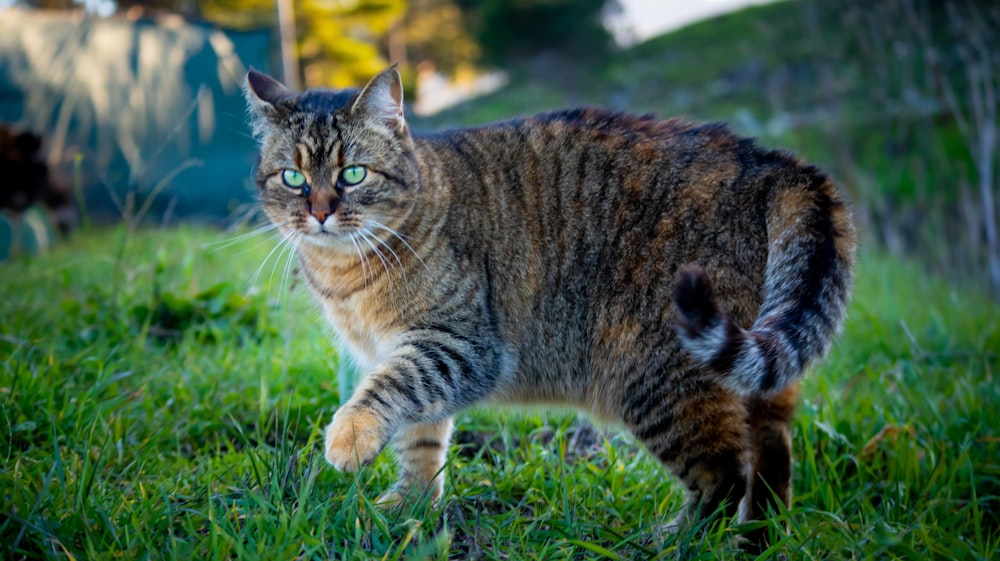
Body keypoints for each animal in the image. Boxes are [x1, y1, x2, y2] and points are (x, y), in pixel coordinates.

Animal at [244, 64, 860, 548]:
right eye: (293, 177)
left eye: (352, 173)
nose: (320, 212)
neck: (346, 272)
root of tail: (773, 162)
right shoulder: (405, 351)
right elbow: (420, 436)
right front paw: (411, 506)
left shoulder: (459, 345)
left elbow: (393, 390)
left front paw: (349, 437)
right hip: (754, 379)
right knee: (771, 457)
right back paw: (757, 540)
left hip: (658, 376)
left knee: (725, 475)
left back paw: (673, 542)